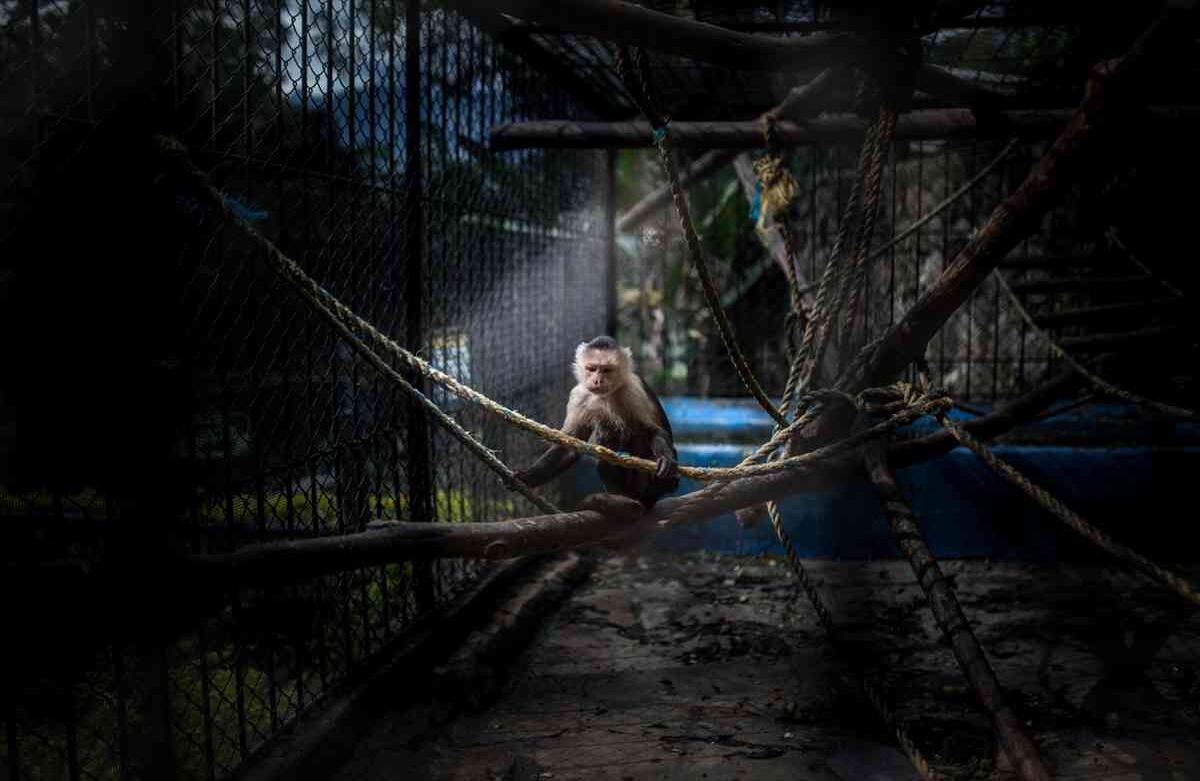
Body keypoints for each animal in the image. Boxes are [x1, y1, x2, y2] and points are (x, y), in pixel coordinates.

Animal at [513, 336, 680, 511]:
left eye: (606, 370)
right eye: (592, 369)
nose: (597, 380)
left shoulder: (632, 391)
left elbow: (653, 431)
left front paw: (665, 458)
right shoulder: (579, 395)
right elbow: (568, 447)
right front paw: (526, 477)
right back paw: (624, 497)